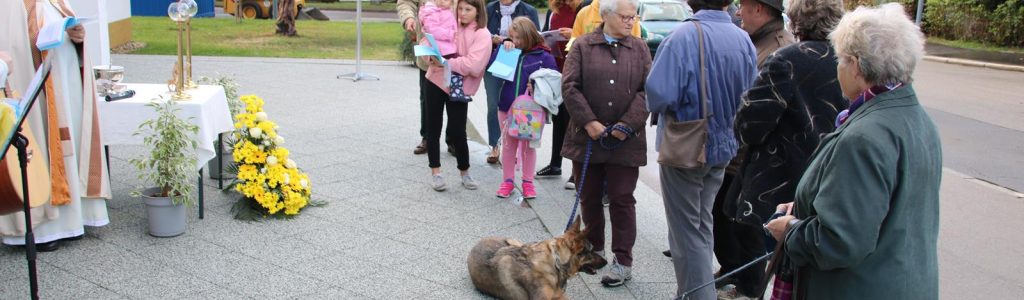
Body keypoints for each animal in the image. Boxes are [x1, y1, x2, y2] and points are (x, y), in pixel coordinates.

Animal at [466, 215, 602, 298]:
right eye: (592, 250)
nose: (605, 261)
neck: (555, 263)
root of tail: (477, 244)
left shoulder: (559, 295)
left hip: (517, 243)